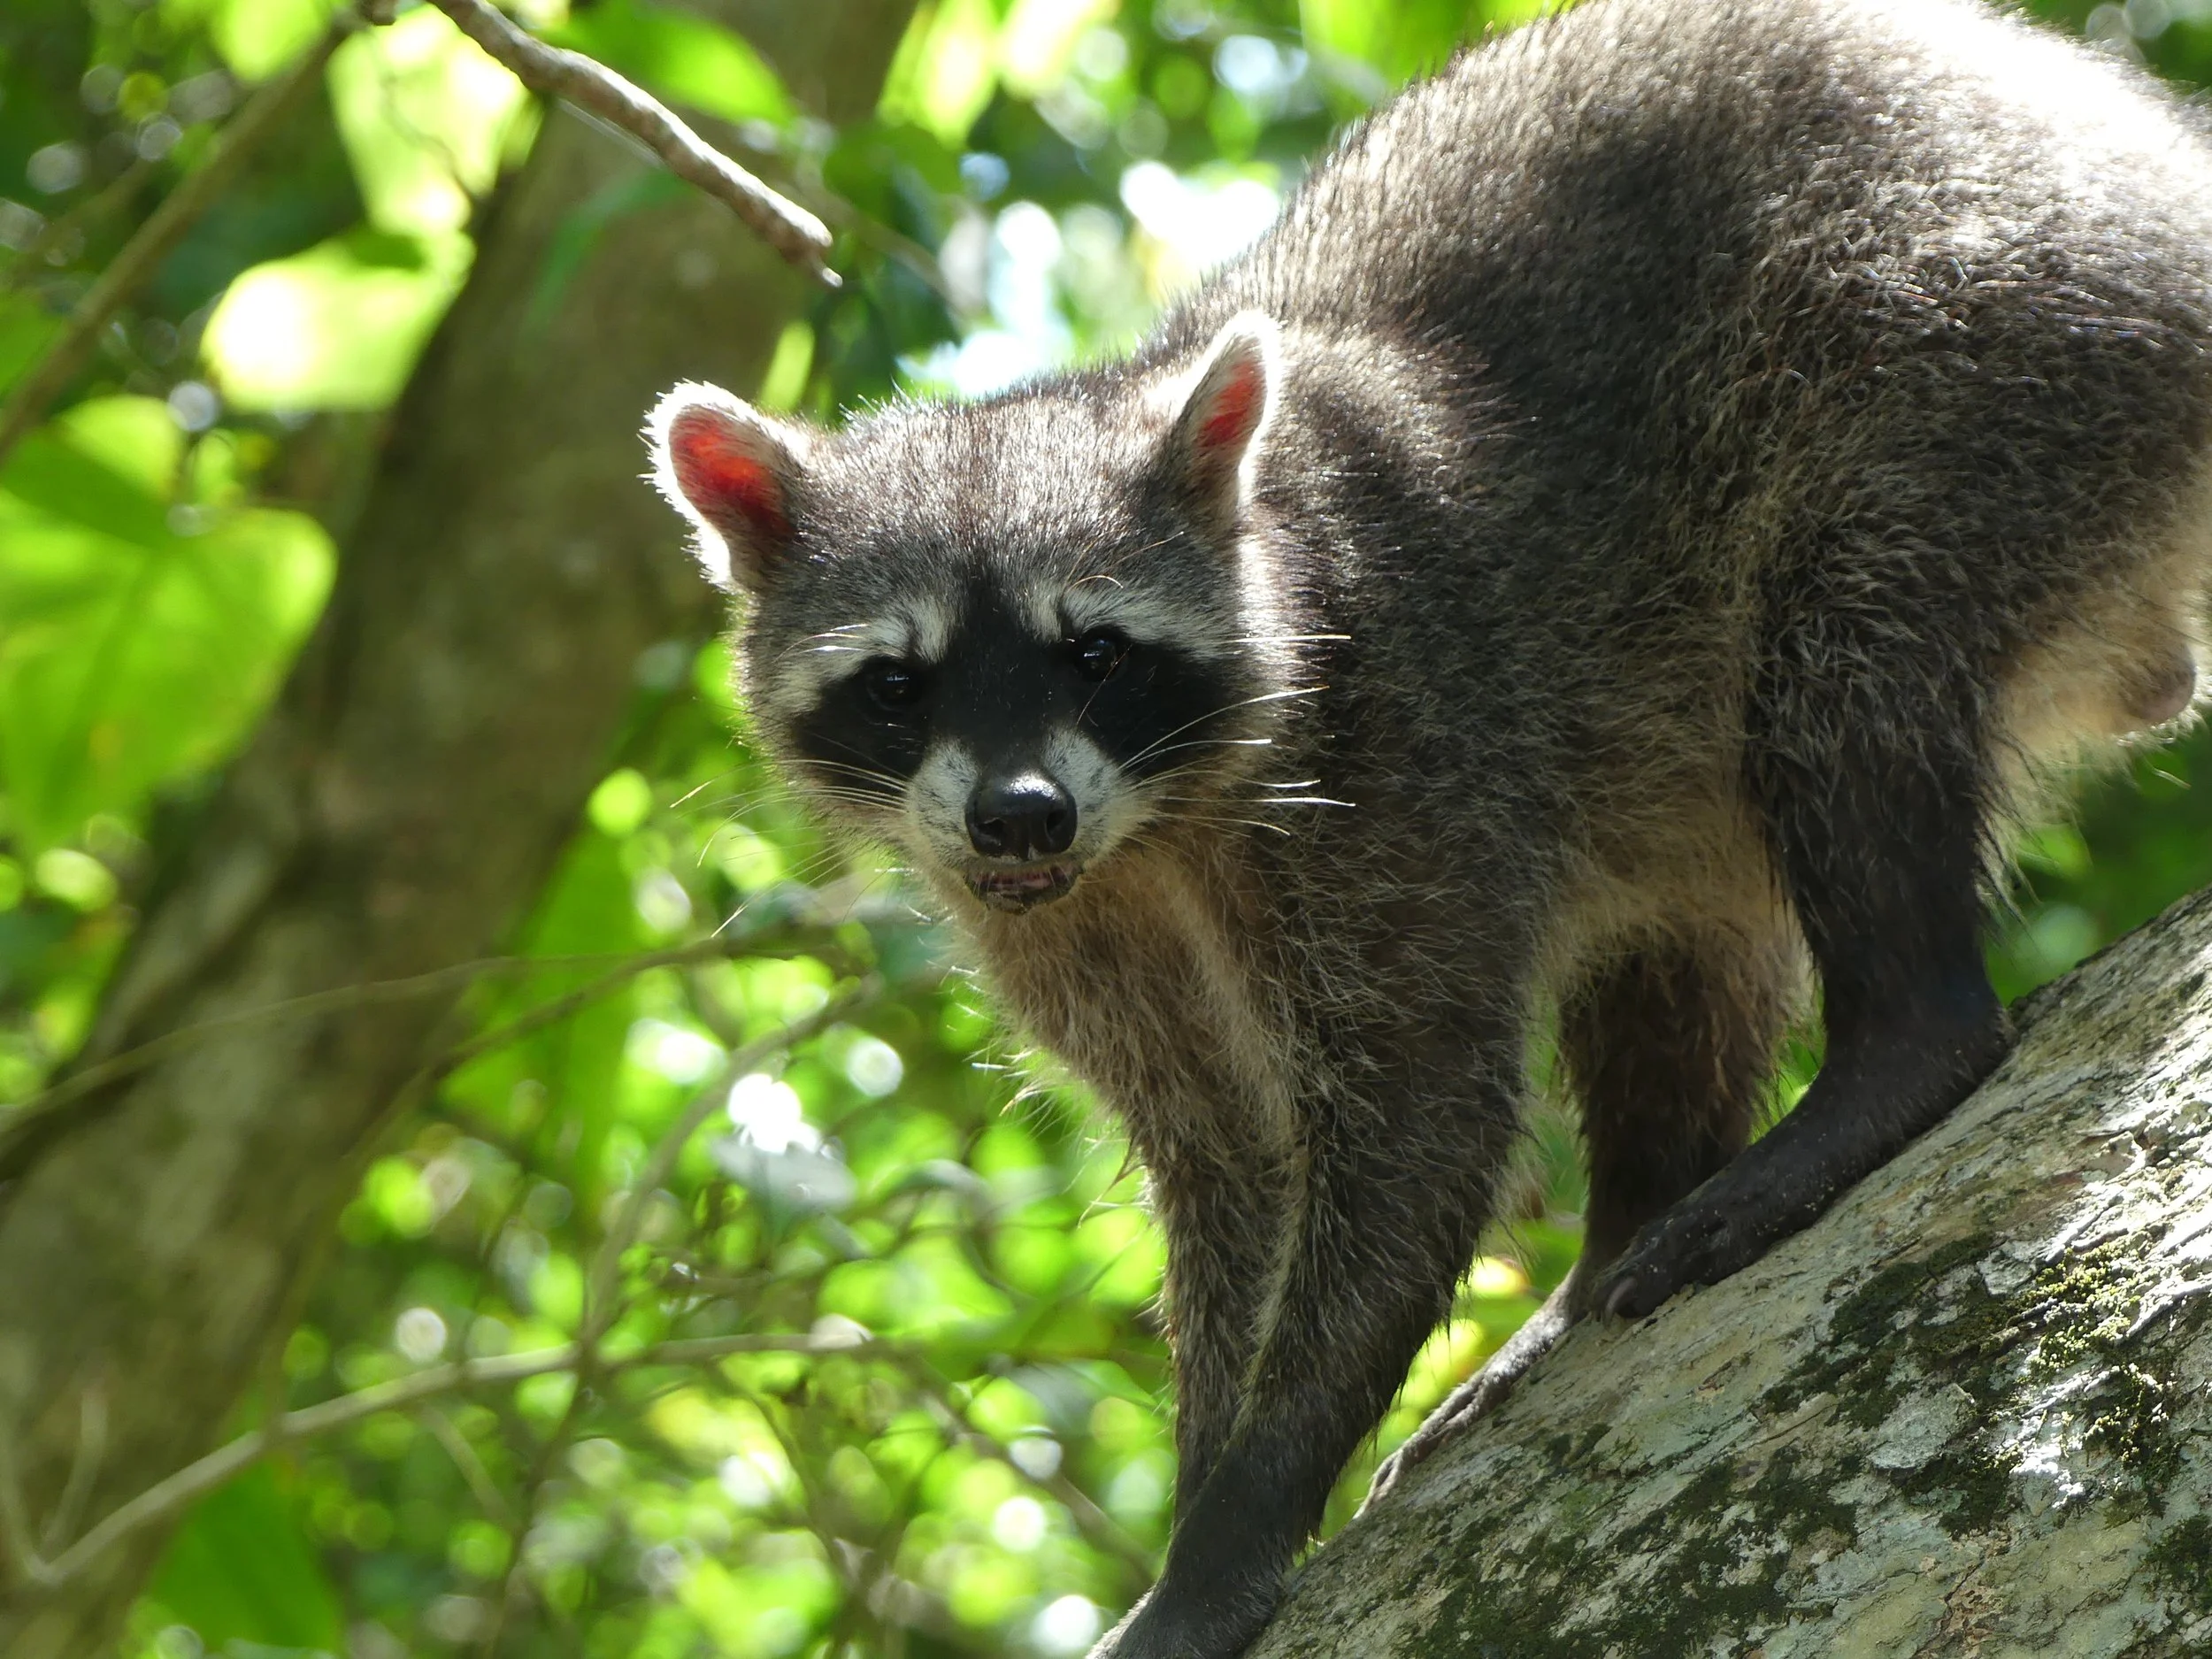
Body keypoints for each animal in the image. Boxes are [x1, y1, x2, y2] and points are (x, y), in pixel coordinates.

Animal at [647, 0, 2212, 1652]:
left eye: (1097, 653)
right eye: (901, 681)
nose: (1019, 817)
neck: (1150, 835)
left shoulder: (1395, 764)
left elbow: (1421, 1126)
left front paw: (1240, 1514)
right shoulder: (1080, 927)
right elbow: (1231, 1175)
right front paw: (1207, 1483)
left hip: (1958, 346)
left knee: (1841, 681)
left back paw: (1894, 1046)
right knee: (1689, 923)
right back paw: (1630, 1216)